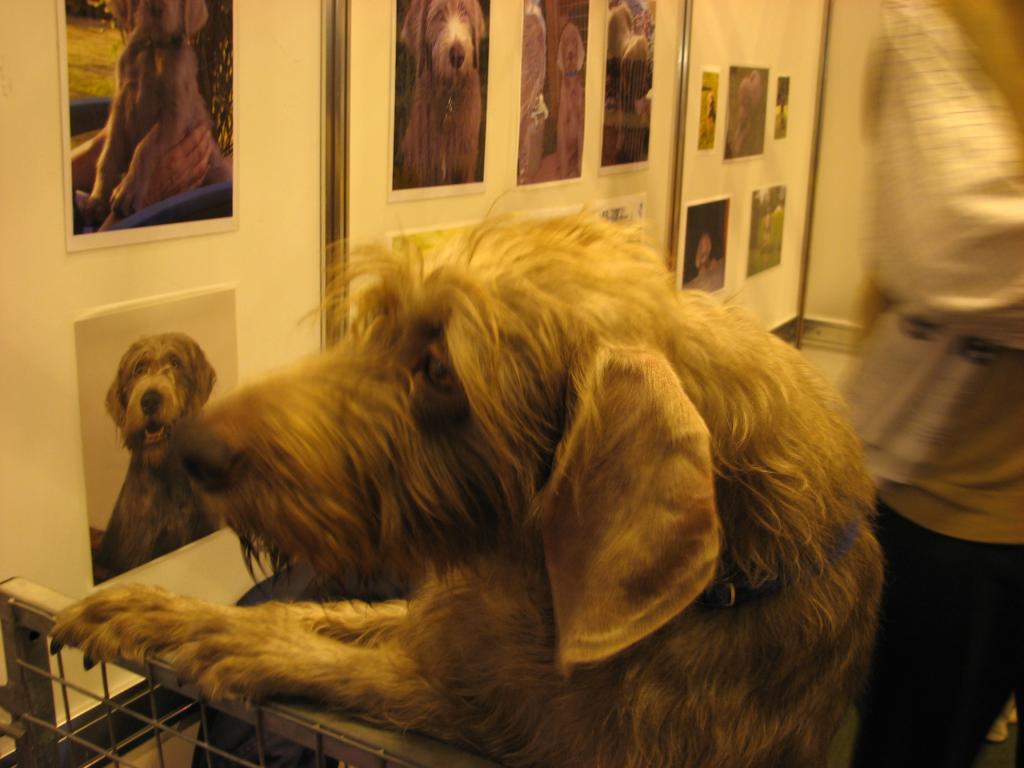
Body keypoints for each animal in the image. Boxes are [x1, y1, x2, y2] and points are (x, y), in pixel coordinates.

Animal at [82, 0, 231, 227]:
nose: (156, 6)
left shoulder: (175, 116)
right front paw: (96, 199)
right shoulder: (119, 107)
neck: (153, 47)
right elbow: (108, 155)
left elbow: (145, 147)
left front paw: (128, 192)